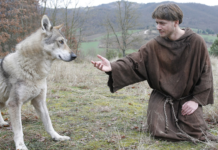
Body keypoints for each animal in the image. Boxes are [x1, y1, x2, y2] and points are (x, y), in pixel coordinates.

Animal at [0, 14, 76, 149]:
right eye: (61, 41)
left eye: (66, 42)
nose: (74, 56)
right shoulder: (14, 104)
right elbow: (19, 130)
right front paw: (21, 146)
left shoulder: (39, 101)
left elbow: (49, 123)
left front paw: (57, 137)